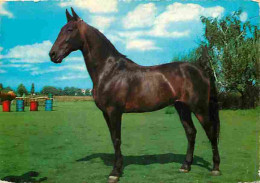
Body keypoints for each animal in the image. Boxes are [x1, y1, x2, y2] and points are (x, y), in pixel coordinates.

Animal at [49, 7, 221, 182]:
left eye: (70, 29)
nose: (53, 54)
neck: (109, 71)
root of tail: (201, 71)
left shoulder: (114, 111)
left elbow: (117, 139)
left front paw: (115, 172)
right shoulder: (106, 113)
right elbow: (113, 138)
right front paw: (118, 168)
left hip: (199, 108)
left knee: (211, 132)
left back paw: (215, 168)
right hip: (182, 107)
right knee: (191, 132)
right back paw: (185, 166)